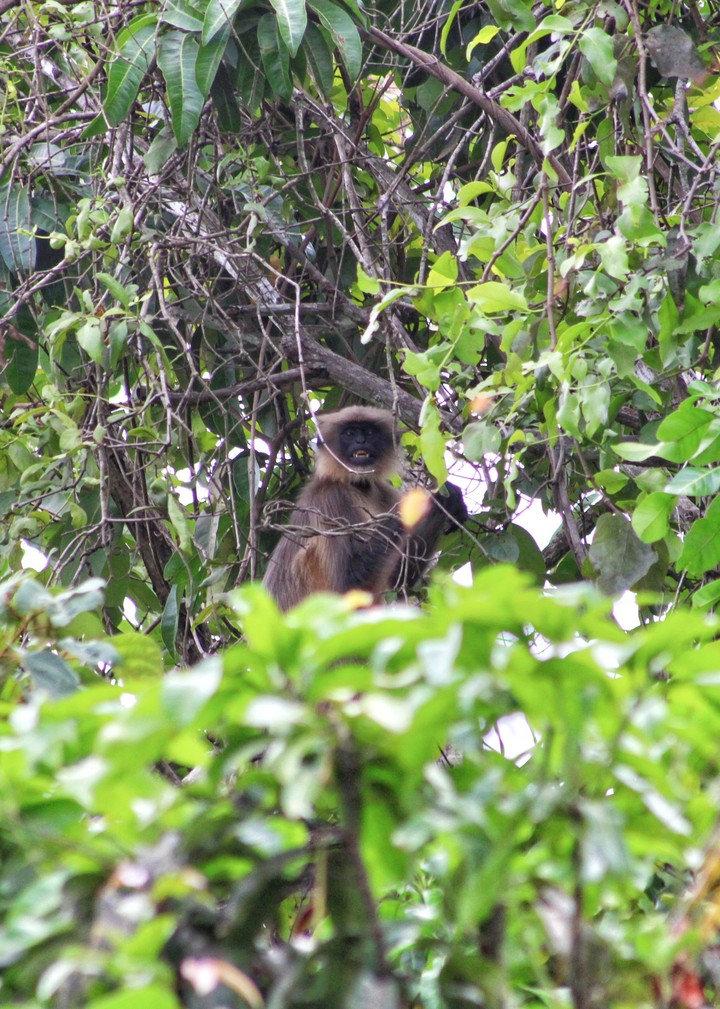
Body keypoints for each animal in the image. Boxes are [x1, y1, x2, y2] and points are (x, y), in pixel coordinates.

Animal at [263, 406, 468, 611]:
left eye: (369, 433)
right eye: (349, 433)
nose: (360, 441)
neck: (357, 486)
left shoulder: (384, 492)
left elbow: (399, 582)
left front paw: (444, 500)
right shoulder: (329, 497)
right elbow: (348, 579)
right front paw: (418, 503)